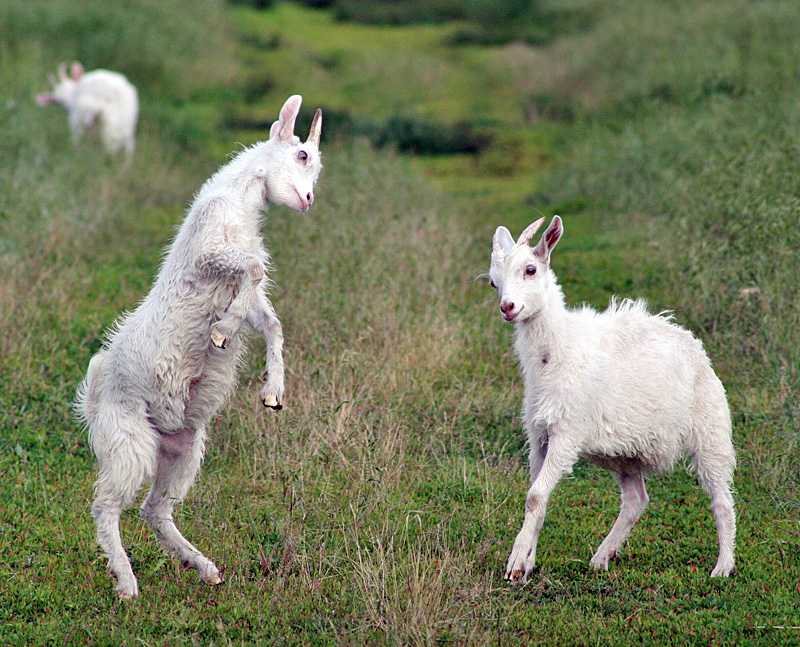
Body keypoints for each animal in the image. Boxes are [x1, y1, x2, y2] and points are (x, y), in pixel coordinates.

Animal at [73, 93, 324, 600]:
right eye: (302, 154)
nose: (308, 200)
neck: (242, 201)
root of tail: (93, 395)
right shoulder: (212, 250)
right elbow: (251, 272)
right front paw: (223, 331)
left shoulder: (246, 278)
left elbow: (270, 320)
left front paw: (273, 392)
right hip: (128, 442)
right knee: (106, 507)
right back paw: (126, 582)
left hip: (184, 450)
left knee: (154, 510)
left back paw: (205, 567)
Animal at [490, 216, 740, 584]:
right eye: (494, 283)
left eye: (530, 269)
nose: (508, 307)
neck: (559, 350)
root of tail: (692, 343)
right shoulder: (539, 436)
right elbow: (538, 495)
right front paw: (528, 562)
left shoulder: (566, 431)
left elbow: (534, 496)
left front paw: (516, 565)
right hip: (626, 454)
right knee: (636, 499)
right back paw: (601, 557)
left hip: (711, 430)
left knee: (721, 498)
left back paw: (722, 566)